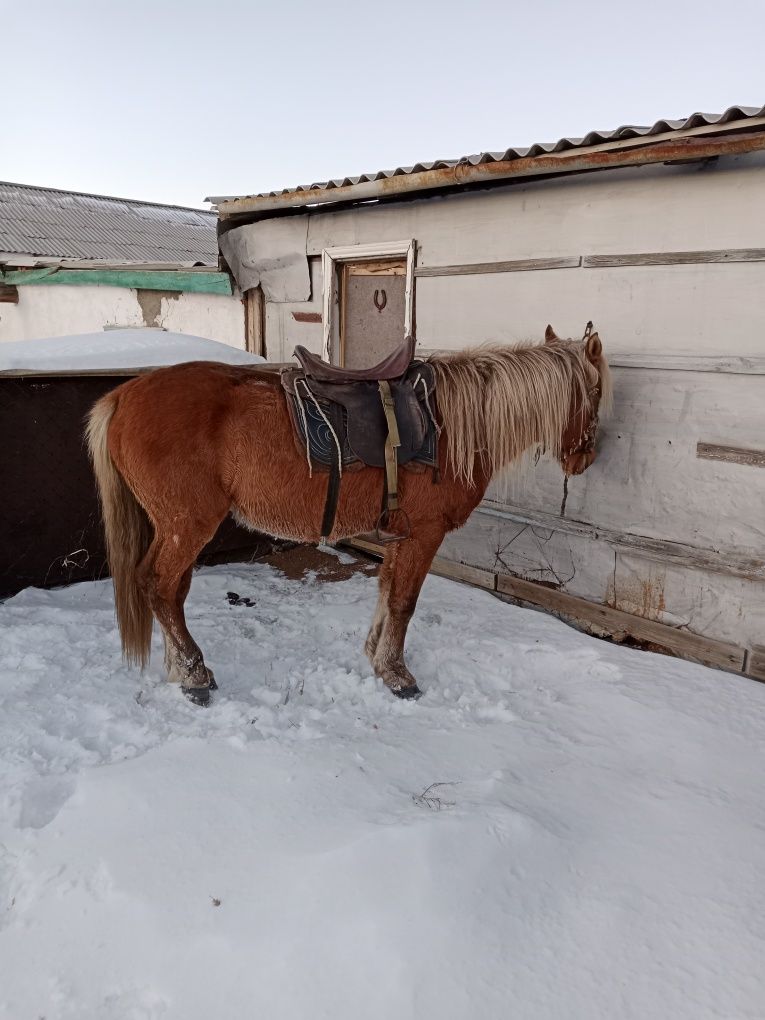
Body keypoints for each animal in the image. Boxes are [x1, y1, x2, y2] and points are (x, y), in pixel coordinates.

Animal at [85, 324, 612, 701]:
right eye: (598, 392)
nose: (585, 458)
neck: (448, 425)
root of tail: (123, 395)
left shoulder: (400, 534)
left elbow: (387, 594)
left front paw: (377, 660)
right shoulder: (425, 534)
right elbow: (404, 603)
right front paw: (398, 676)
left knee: (171, 592)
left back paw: (180, 669)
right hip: (186, 526)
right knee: (157, 585)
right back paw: (194, 675)